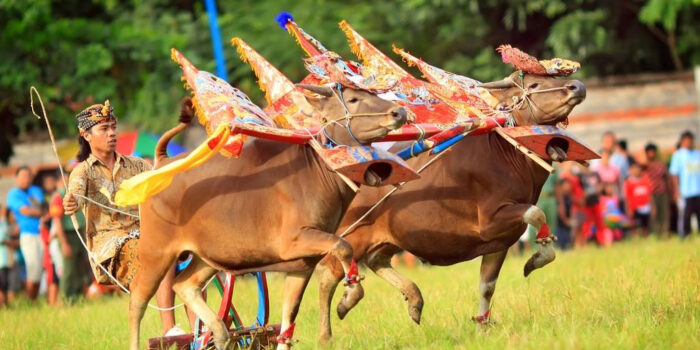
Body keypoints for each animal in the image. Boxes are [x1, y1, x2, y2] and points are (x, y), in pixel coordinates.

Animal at [130, 85, 410, 350]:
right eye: (352, 99)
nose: (399, 112)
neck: (318, 171)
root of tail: (160, 164)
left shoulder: (302, 264)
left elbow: (289, 319)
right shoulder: (294, 241)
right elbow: (344, 246)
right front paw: (350, 295)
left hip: (208, 257)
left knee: (185, 285)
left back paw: (220, 332)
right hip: (156, 253)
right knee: (138, 299)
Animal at [316, 71, 584, 342]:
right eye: (534, 84)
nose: (577, 86)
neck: (509, 154)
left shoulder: (500, 241)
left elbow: (487, 286)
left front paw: (482, 327)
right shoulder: (492, 221)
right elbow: (536, 213)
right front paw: (536, 260)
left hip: (388, 238)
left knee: (375, 260)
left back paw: (411, 299)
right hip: (353, 235)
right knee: (328, 271)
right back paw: (332, 325)